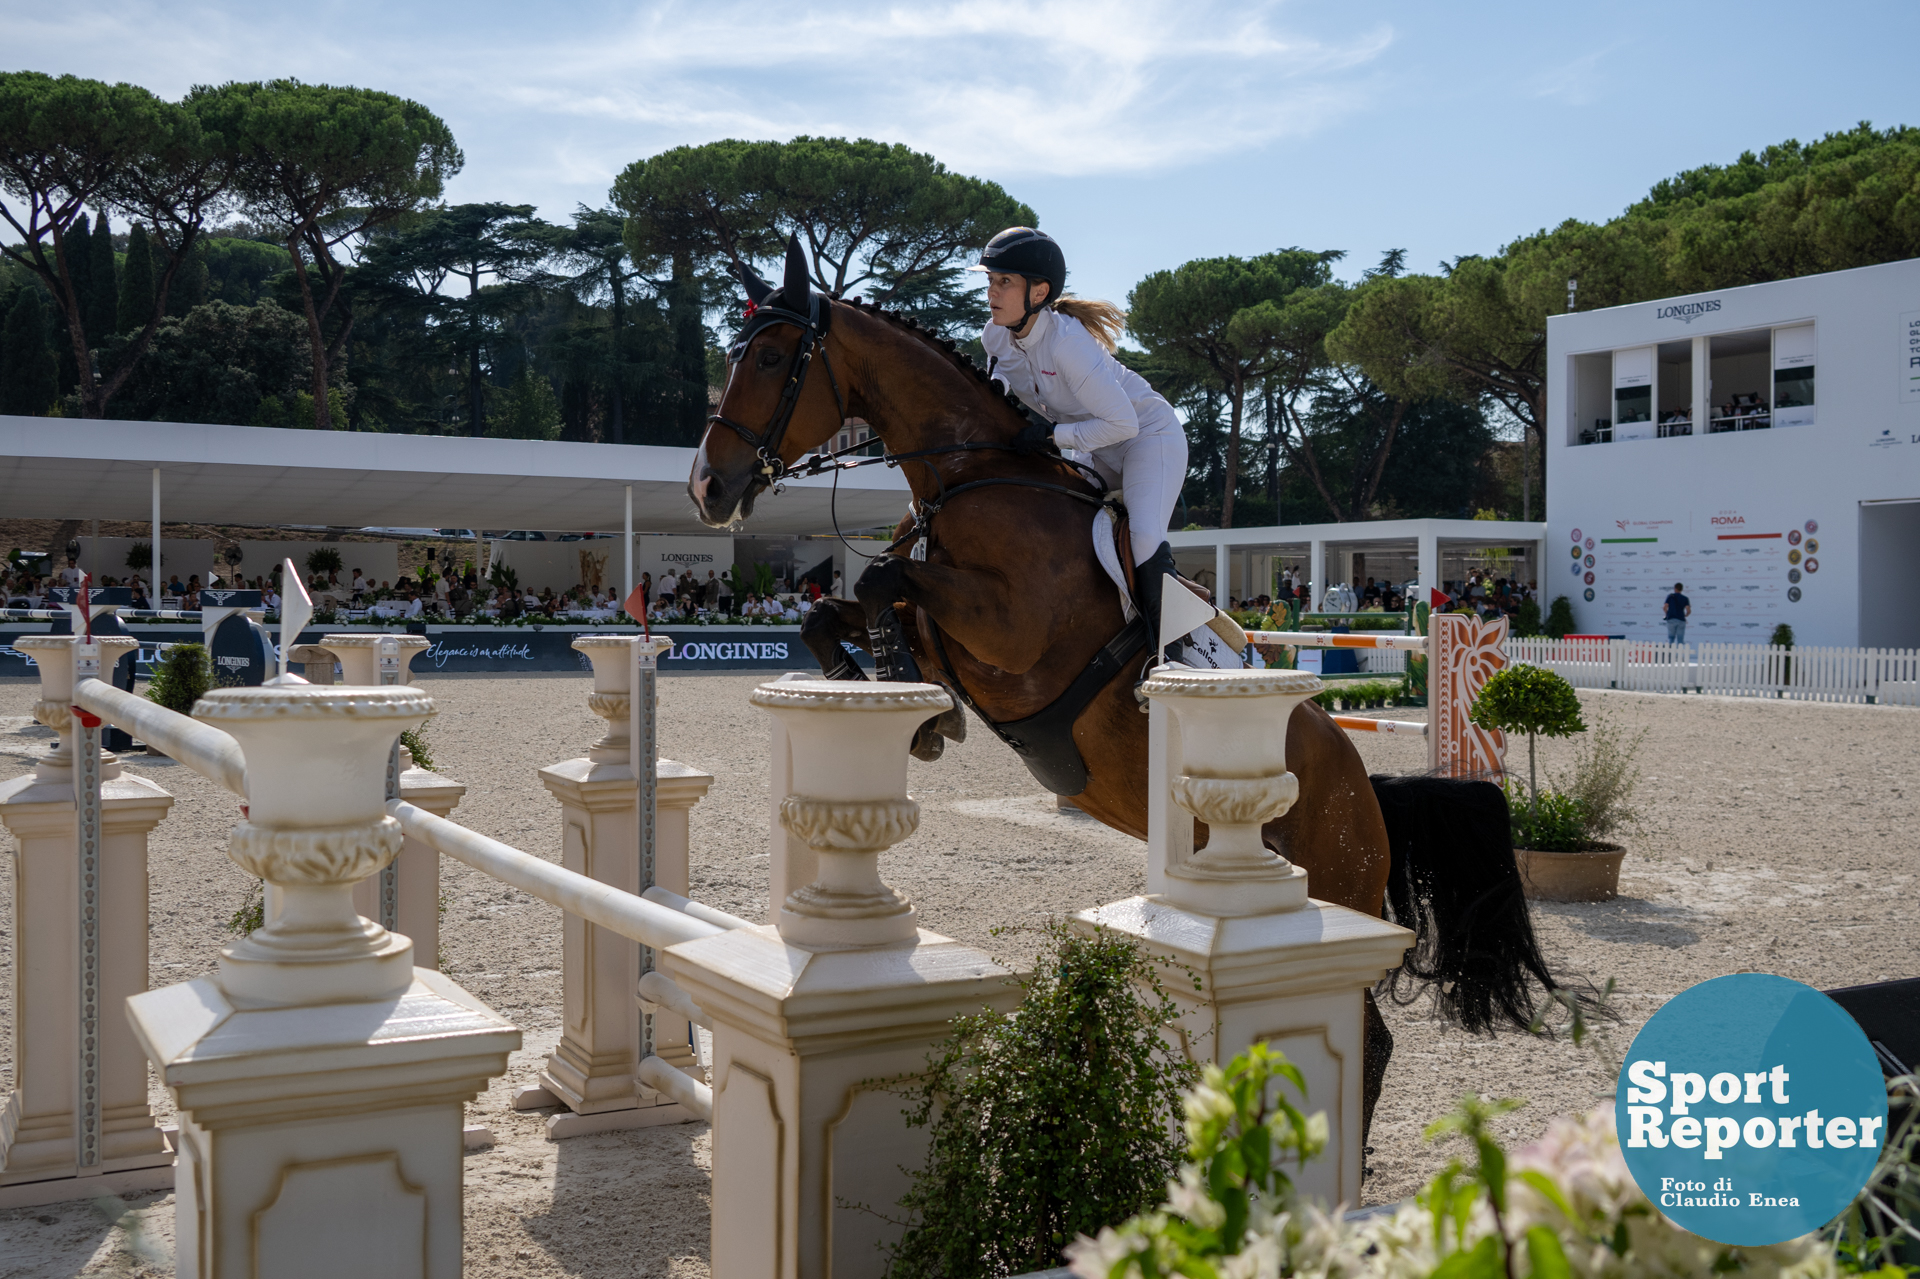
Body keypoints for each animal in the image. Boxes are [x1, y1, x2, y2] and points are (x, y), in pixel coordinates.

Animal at [691, 243, 1559, 1113]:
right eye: (732, 355)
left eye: (770, 358)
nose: (708, 488)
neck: (966, 476)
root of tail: (1366, 788)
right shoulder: (943, 630)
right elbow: (833, 611)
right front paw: (884, 694)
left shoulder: (1010, 630)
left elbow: (880, 579)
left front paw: (918, 714)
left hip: (1331, 890)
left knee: (1370, 1038)